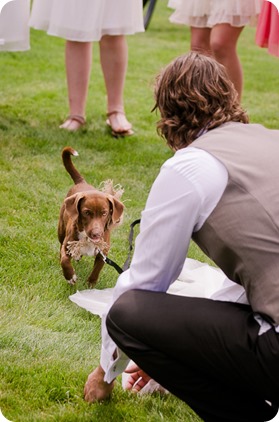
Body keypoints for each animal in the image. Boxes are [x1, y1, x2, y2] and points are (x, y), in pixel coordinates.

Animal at [58, 145, 124, 286]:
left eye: (104, 213)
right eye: (86, 212)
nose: (96, 234)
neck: (87, 239)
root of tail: (81, 182)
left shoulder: (102, 253)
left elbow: (97, 269)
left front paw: (90, 284)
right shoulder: (68, 244)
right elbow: (64, 260)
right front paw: (70, 276)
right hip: (60, 229)